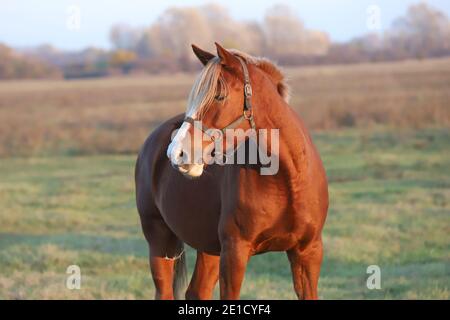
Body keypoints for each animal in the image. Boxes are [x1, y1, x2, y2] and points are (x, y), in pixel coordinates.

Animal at [134, 43, 326, 300]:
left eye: (219, 96)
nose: (176, 153)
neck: (287, 180)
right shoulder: (234, 252)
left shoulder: (308, 252)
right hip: (160, 240)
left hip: (208, 247)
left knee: (197, 291)